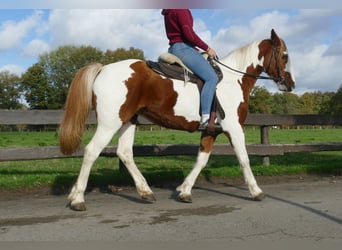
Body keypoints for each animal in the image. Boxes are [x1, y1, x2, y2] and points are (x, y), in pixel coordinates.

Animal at [58, 28, 294, 211]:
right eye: (284, 55)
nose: (290, 84)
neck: (233, 80)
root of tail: (104, 68)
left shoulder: (210, 131)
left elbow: (201, 160)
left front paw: (184, 190)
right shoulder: (234, 128)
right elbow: (244, 159)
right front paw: (256, 191)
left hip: (128, 121)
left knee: (124, 153)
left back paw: (144, 192)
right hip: (109, 124)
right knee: (91, 152)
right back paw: (78, 199)